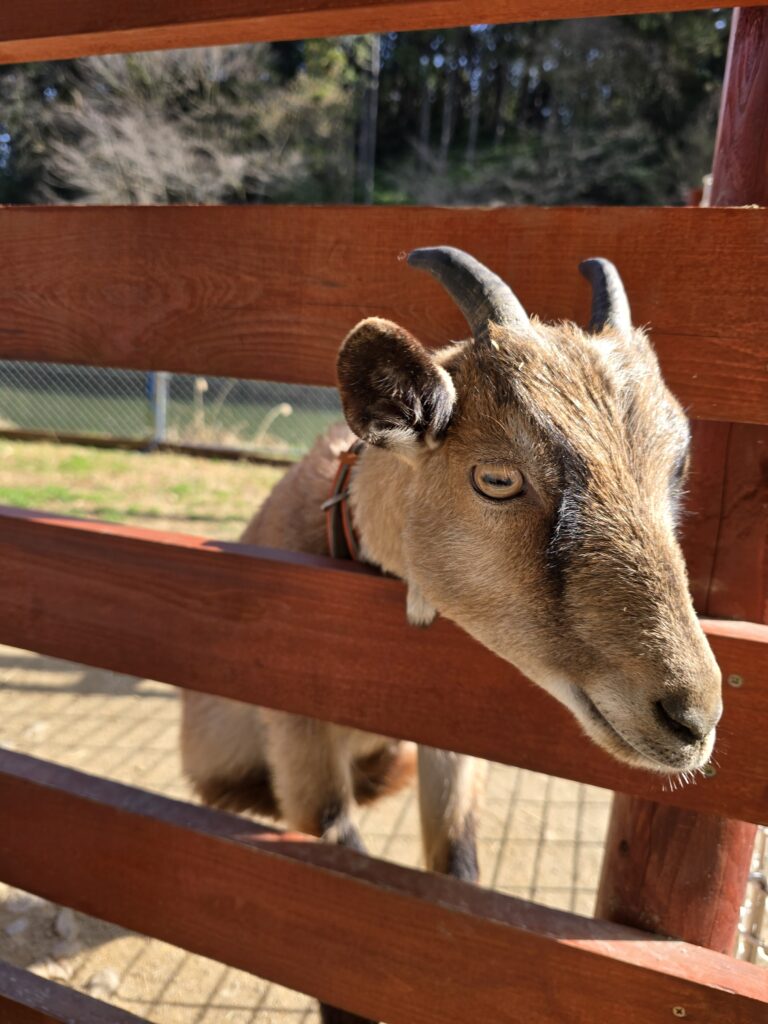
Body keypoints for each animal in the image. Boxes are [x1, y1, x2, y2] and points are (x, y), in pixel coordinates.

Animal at [181, 247, 721, 1024]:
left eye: (676, 469)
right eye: (497, 478)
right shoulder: (296, 724)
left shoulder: (444, 735)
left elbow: (456, 868)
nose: (692, 718)